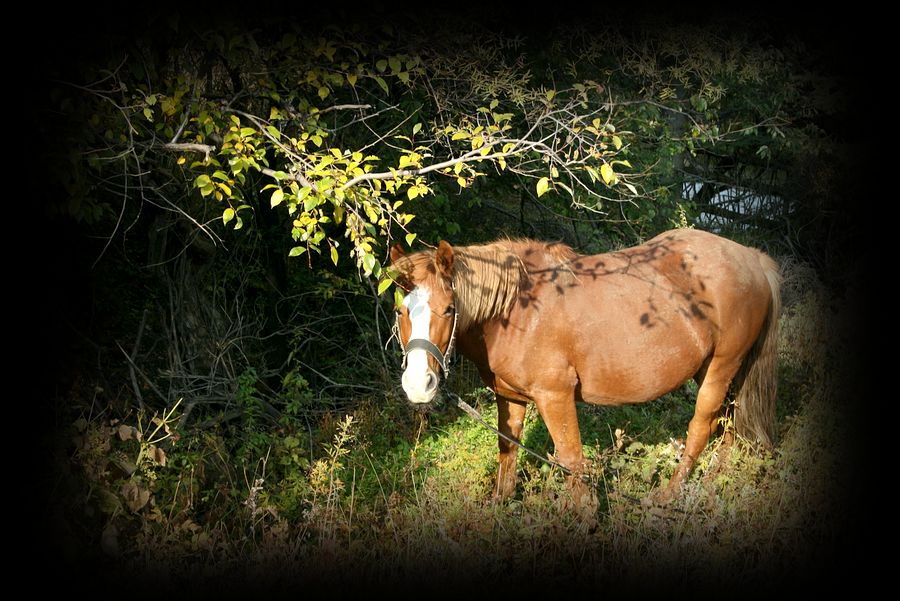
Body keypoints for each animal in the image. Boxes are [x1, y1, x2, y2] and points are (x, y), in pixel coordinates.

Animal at [390, 227, 776, 504]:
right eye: (400, 310)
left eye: (448, 309)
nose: (418, 384)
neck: (516, 310)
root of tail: (753, 259)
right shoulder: (510, 397)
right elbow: (508, 451)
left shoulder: (555, 397)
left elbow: (571, 460)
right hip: (713, 371)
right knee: (726, 426)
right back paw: (711, 484)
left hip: (721, 369)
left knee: (701, 427)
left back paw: (668, 497)